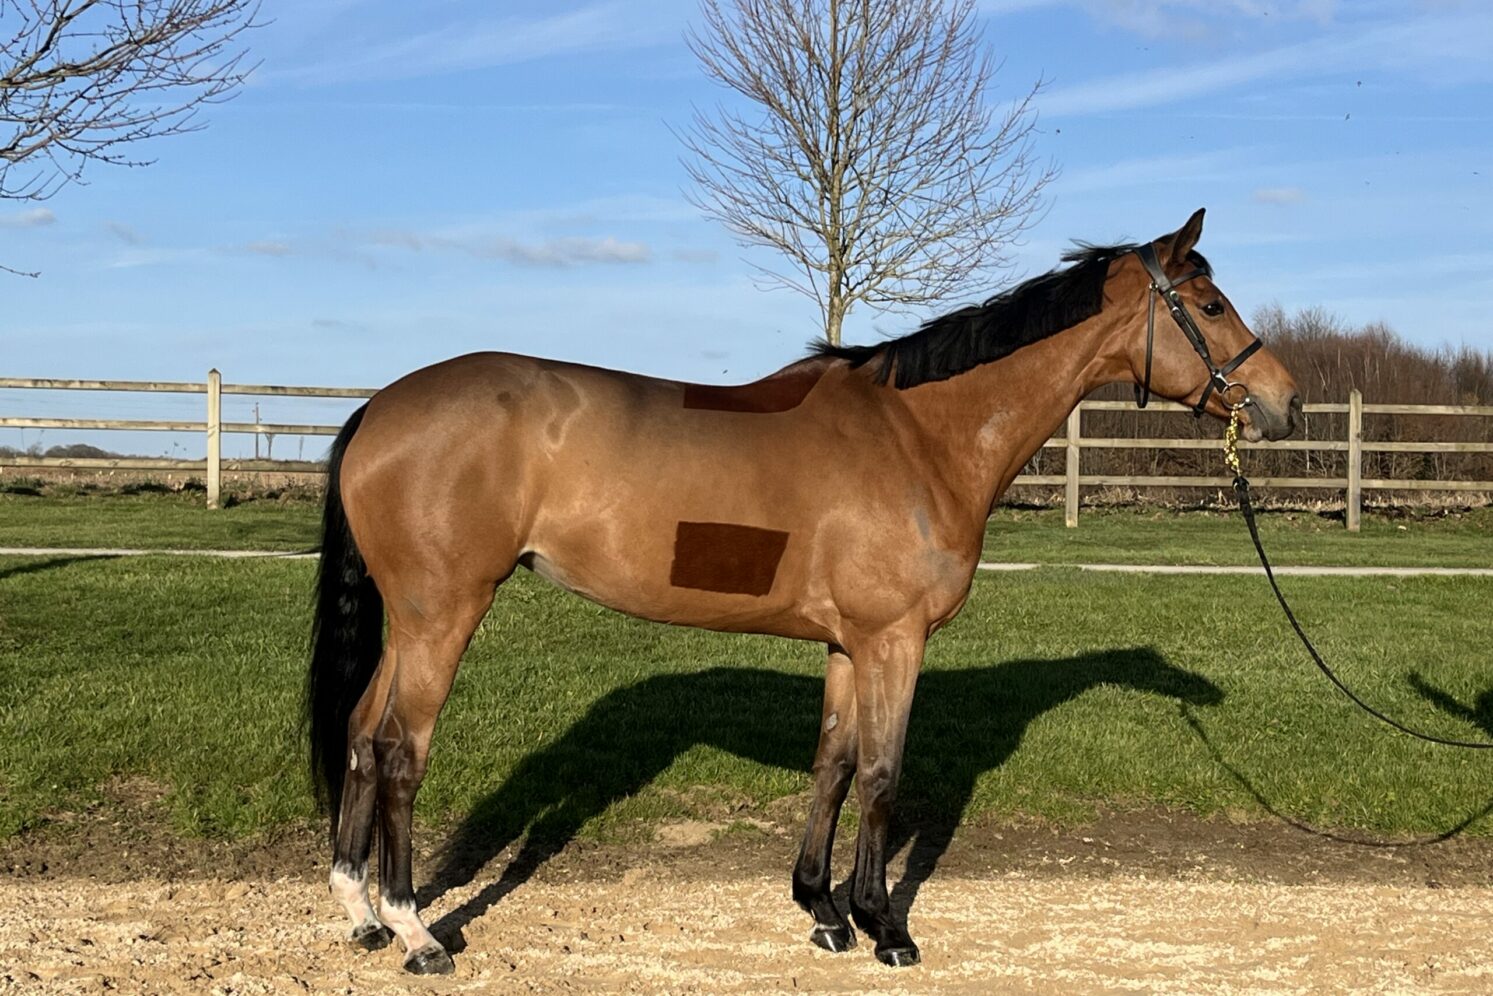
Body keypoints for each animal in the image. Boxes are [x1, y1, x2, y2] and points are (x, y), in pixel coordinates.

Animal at [306, 208, 1302, 974]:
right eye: (1208, 305)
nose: (1284, 404)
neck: (918, 435)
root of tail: (380, 407)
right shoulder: (895, 640)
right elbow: (883, 775)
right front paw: (885, 927)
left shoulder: (846, 643)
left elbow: (832, 765)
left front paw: (822, 911)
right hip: (445, 613)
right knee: (398, 751)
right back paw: (416, 932)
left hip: (411, 620)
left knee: (357, 735)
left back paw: (359, 912)